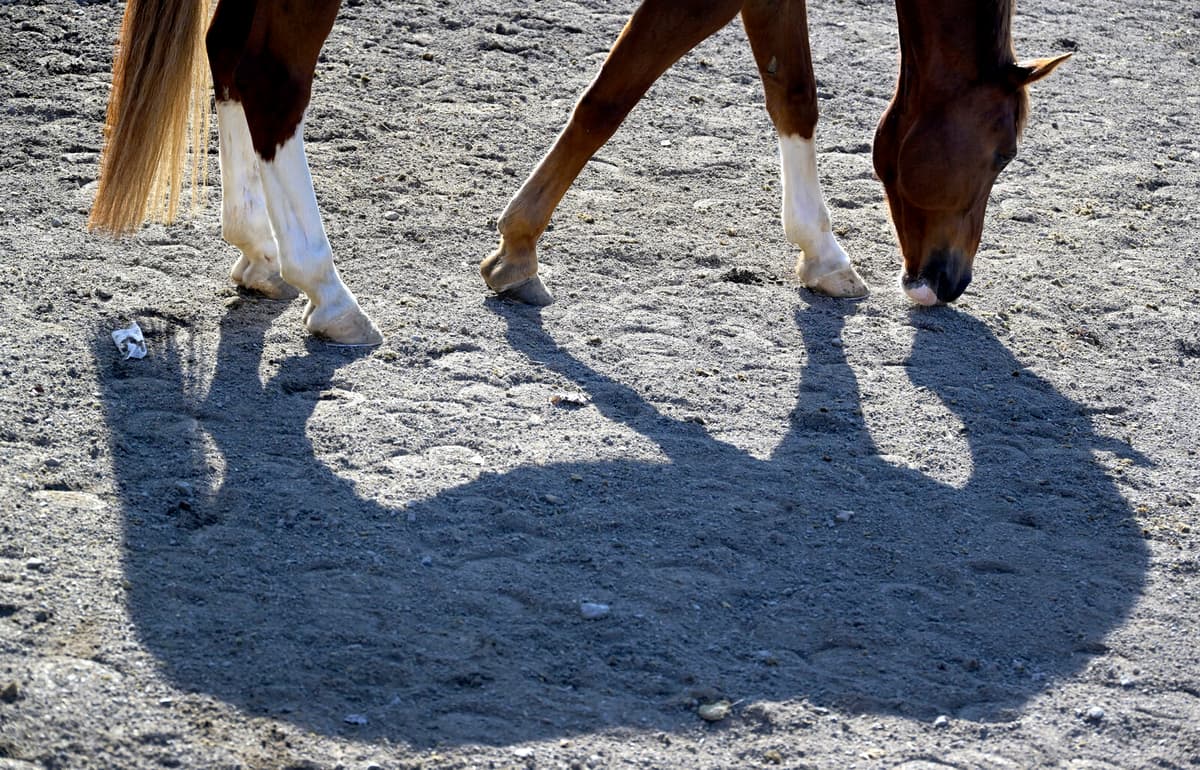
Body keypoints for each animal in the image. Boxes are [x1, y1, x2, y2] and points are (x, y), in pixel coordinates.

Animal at [481, 0, 1070, 307]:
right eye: (1005, 155)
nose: (954, 284)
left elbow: (793, 94)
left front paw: (821, 255)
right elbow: (608, 97)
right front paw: (519, 247)